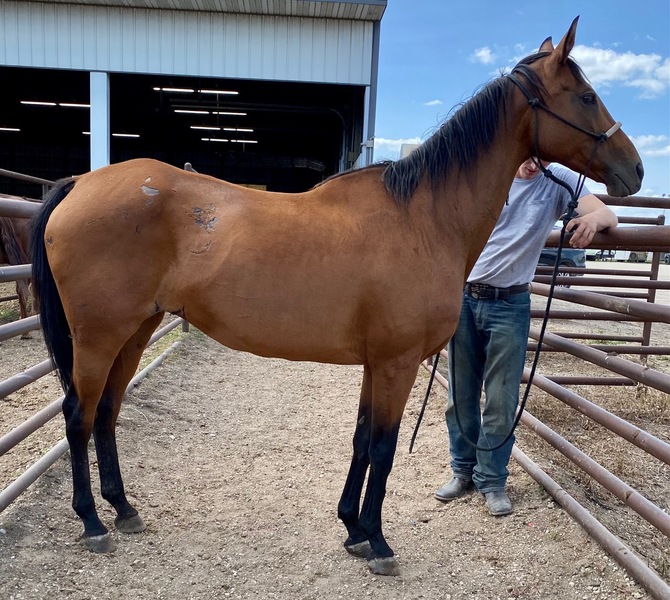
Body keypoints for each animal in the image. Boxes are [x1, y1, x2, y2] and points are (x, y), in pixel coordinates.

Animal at [30, 18, 642, 576]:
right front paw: (379, 542)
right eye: (587, 95)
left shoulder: (377, 363)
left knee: (106, 412)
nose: (633, 169)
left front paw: (352, 529)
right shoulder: (397, 363)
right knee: (78, 415)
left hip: (133, 332)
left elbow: (361, 440)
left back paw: (124, 509)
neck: (424, 218)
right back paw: (92, 522)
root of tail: (80, 184)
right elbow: (384, 449)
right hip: (99, 337)